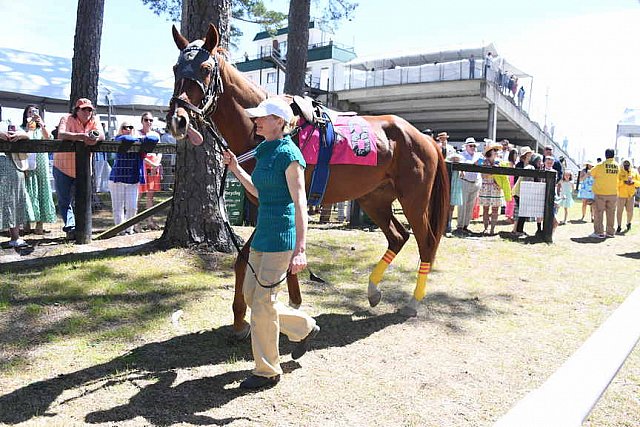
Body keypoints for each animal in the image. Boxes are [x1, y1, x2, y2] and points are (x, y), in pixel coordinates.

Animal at [168, 24, 448, 338]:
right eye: (176, 68)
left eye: (205, 68)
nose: (177, 120)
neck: (268, 132)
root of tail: (425, 138)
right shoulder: (268, 207)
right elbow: (254, 259)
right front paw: (264, 313)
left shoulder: (283, 204)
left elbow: (257, 259)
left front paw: (257, 315)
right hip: (374, 198)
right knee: (398, 237)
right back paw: (373, 290)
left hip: (414, 201)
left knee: (426, 243)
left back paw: (413, 302)